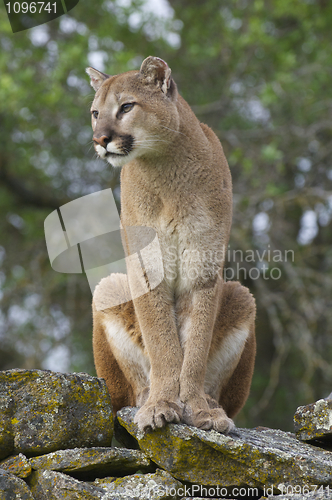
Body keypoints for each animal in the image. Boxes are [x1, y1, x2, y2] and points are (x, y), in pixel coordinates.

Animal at [87, 53, 255, 430]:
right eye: (95, 112)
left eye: (126, 107)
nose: (100, 139)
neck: (166, 170)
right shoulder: (146, 268)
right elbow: (162, 342)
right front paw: (161, 404)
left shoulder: (203, 267)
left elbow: (194, 347)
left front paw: (198, 408)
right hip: (109, 287)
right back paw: (146, 398)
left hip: (241, 295)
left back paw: (212, 404)